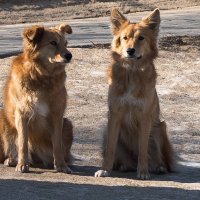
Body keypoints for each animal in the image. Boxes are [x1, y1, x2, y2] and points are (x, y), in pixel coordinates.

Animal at [0, 22, 73, 173]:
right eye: (53, 43)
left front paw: (61, 165)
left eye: (66, 43)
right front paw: (22, 164)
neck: (42, 76)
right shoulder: (22, 114)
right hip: (3, 119)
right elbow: (22, 142)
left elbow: (57, 144)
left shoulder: (57, 115)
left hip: (68, 124)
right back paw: (12, 159)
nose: (69, 55)